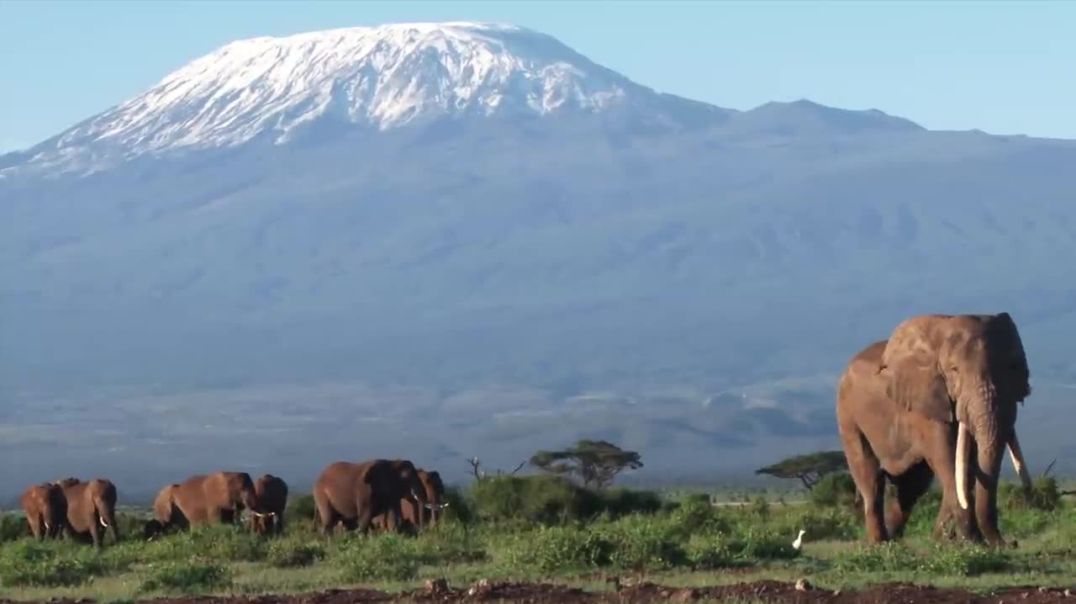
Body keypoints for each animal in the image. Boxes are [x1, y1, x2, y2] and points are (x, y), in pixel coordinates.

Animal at [834, 312, 1037, 544]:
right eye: (954, 370)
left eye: (1012, 367)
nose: (1010, 543)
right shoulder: (925, 402)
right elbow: (947, 459)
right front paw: (972, 542)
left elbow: (966, 465)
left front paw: (945, 540)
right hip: (848, 416)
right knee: (870, 479)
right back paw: (880, 543)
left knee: (911, 487)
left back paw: (897, 541)